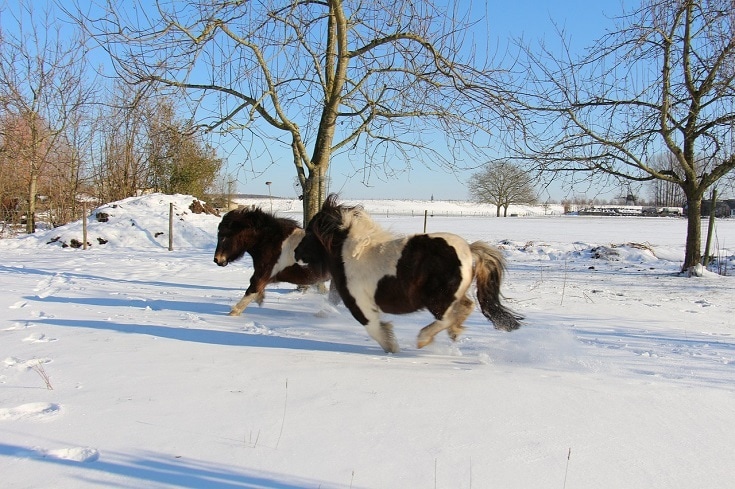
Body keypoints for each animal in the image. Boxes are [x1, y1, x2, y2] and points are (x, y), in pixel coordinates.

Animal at [294, 193, 524, 350]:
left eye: (309, 233)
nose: (296, 252)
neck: (353, 254)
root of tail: (469, 250)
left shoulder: (360, 304)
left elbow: (373, 328)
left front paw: (391, 347)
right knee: (464, 309)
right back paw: (453, 334)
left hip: (437, 299)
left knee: (451, 315)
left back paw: (424, 339)